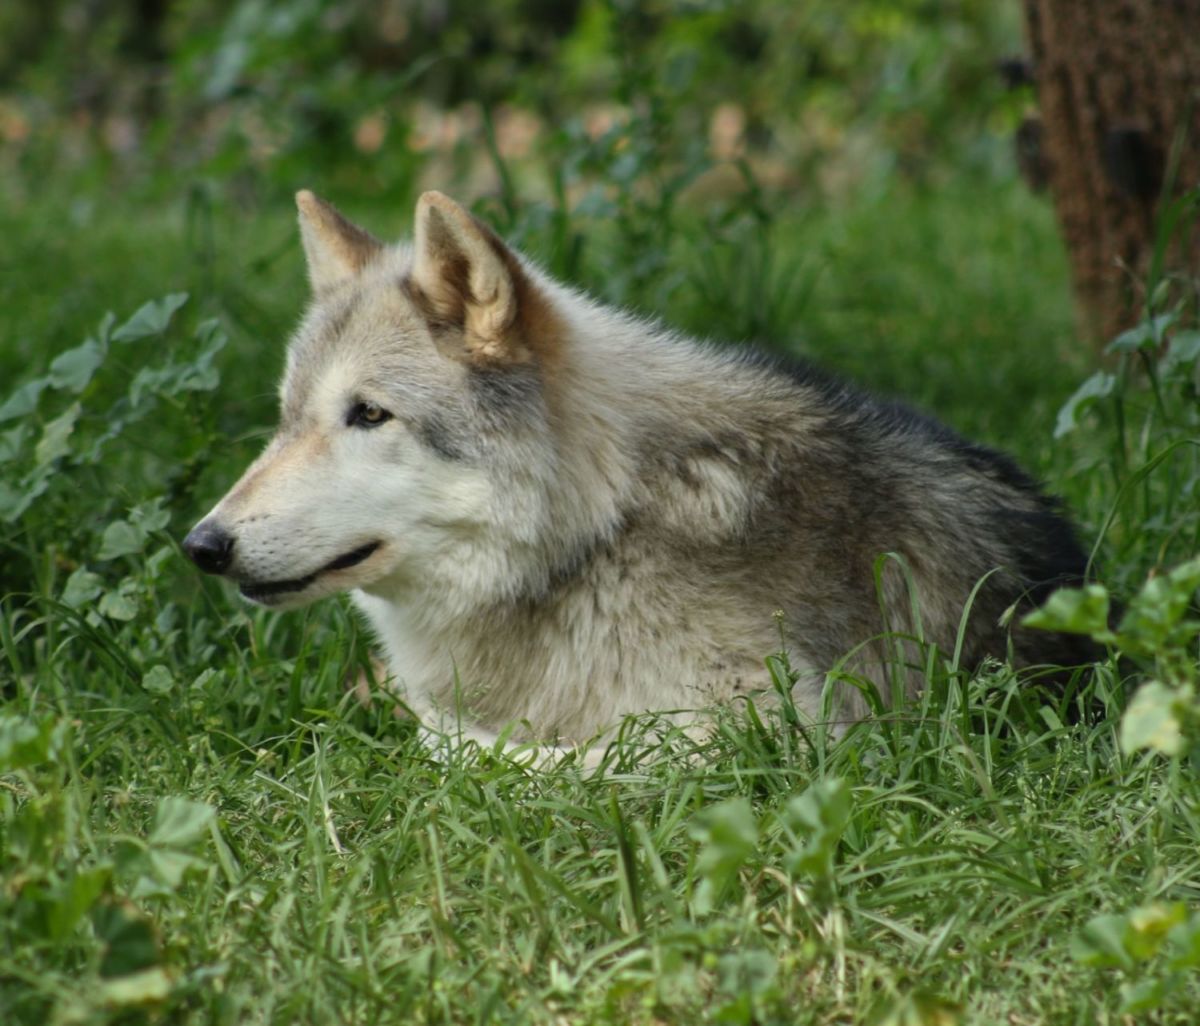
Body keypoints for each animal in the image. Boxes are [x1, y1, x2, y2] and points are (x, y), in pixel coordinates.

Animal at [184, 189, 1094, 759]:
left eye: (369, 415)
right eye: (287, 418)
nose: (202, 545)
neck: (599, 537)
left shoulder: (782, 733)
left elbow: (509, 757)